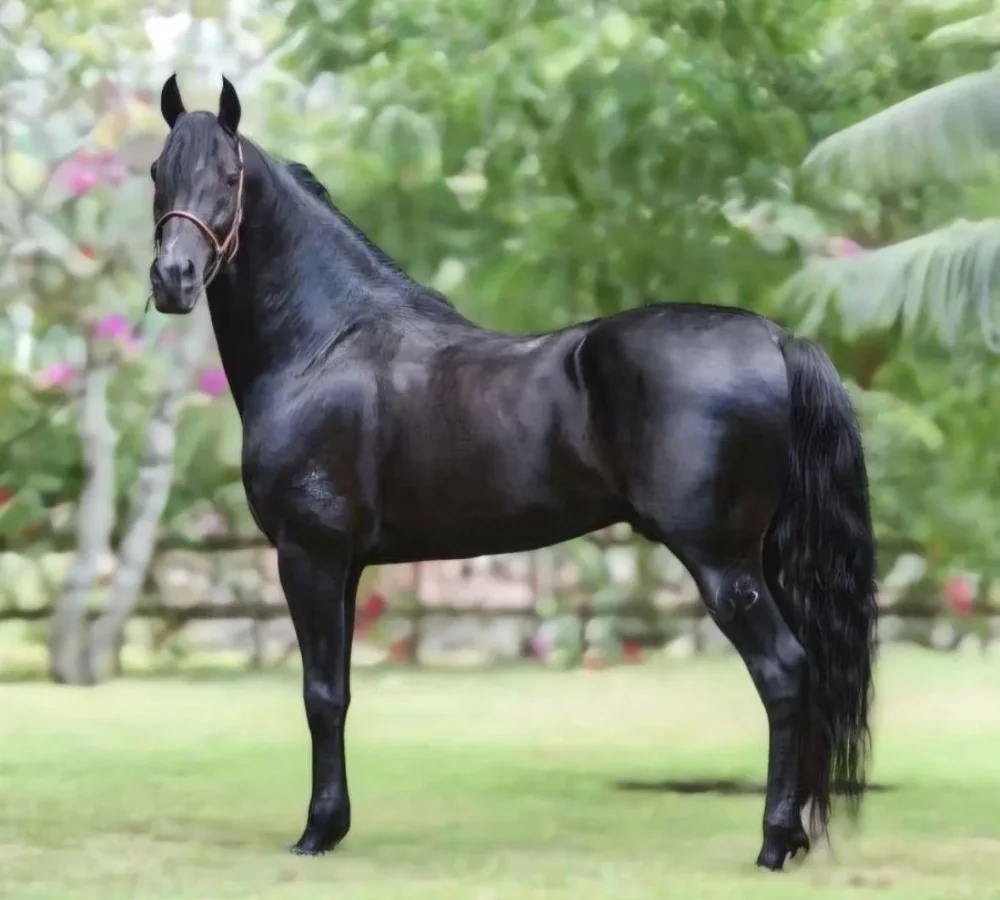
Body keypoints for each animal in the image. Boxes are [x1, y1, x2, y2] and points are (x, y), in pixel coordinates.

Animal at [147, 74, 878, 872]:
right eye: (157, 172)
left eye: (229, 176)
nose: (172, 279)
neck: (325, 344)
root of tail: (775, 338)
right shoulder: (344, 566)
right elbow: (337, 690)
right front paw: (334, 825)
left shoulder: (307, 555)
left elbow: (319, 695)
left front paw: (316, 832)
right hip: (762, 558)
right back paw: (795, 837)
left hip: (722, 564)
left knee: (783, 671)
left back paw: (774, 844)